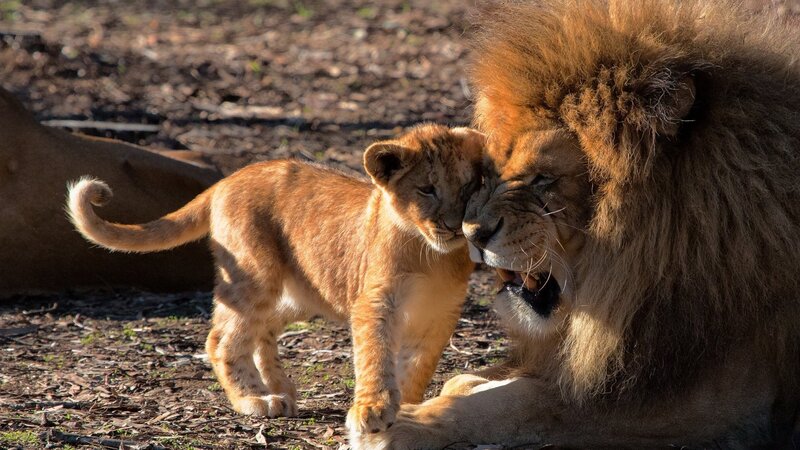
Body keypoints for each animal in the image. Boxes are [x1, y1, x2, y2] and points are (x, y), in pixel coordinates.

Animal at [66, 124, 484, 435]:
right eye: (426, 189)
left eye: (469, 188)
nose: (453, 226)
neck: (432, 256)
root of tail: (228, 179)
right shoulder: (376, 301)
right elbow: (375, 357)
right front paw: (371, 409)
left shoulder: (442, 314)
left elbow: (416, 366)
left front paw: (409, 407)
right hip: (253, 275)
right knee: (222, 339)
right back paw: (255, 399)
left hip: (300, 293)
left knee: (262, 328)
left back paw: (279, 387)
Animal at [356, 1, 800, 448]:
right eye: (492, 171)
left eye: (543, 178)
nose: (471, 234)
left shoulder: (717, 404)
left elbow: (527, 401)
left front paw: (408, 423)